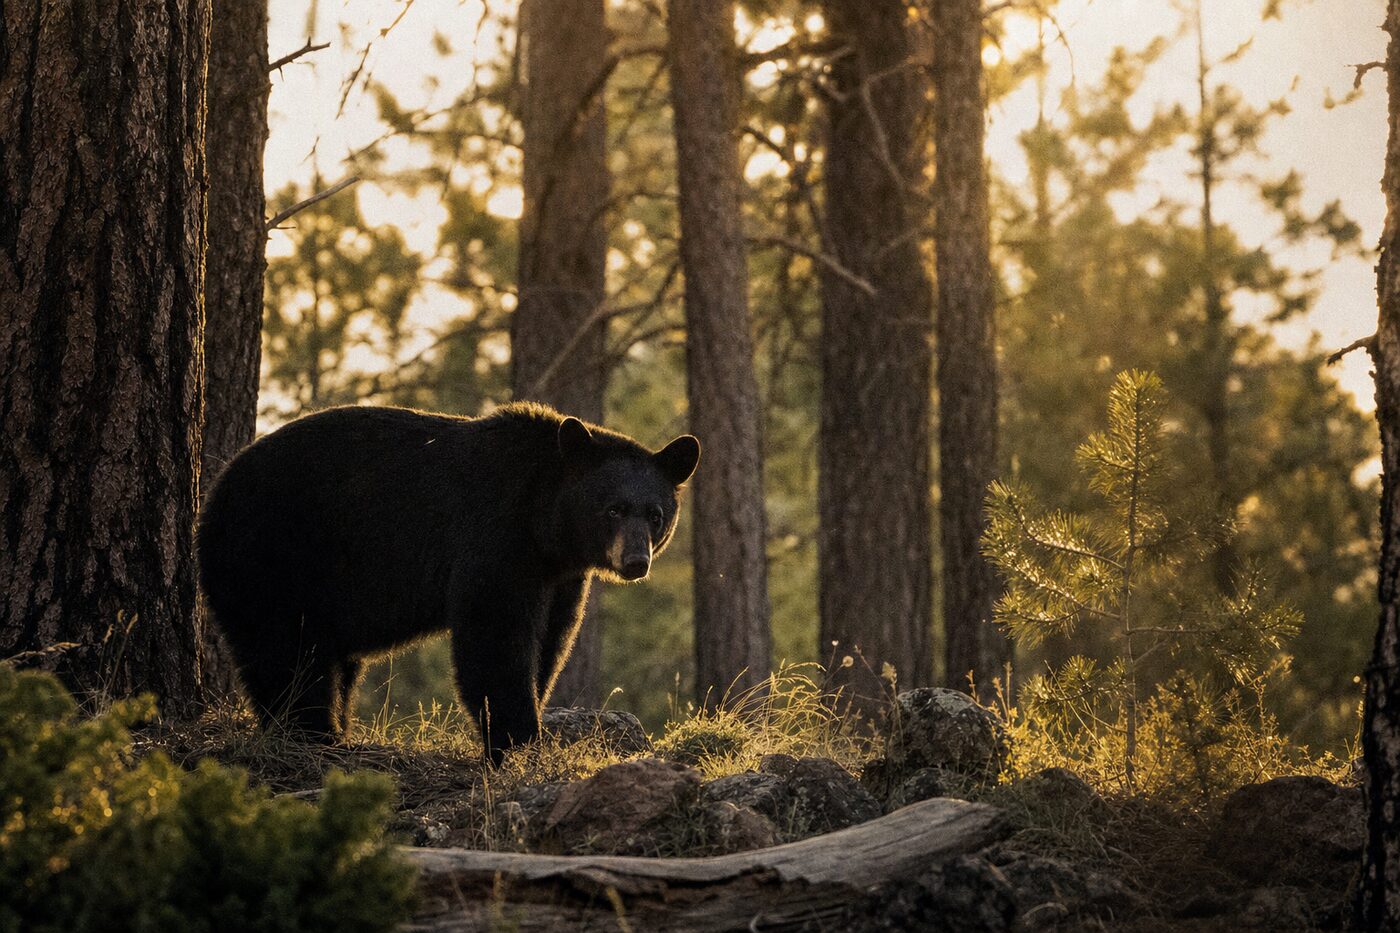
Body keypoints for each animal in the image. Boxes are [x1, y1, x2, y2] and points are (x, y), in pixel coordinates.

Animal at [196, 402, 699, 764]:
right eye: (613, 509)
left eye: (655, 514)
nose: (635, 561)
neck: (543, 519)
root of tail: (215, 491)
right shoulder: (494, 537)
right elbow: (494, 636)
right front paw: (517, 740)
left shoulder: (559, 574)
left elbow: (553, 639)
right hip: (276, 555)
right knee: (286, 651)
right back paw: (312, 734)